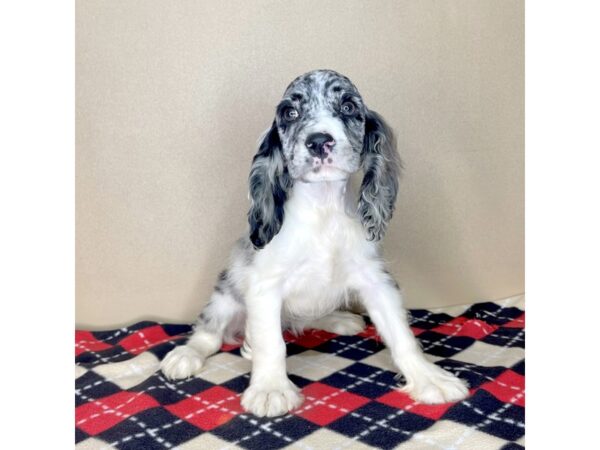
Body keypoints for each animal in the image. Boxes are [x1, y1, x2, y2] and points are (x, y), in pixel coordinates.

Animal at [161, 68, 468, 416]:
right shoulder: (265, 285)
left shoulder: (376, 279)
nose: (319, 141)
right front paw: (270, 389)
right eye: (290, 113)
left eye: (348, 107)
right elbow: (272, 344)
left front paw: (430, 379)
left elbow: (401, 335)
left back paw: (339, 319)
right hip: (225, 297)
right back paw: (187, 355)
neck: (324, 209)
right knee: (209, 333)